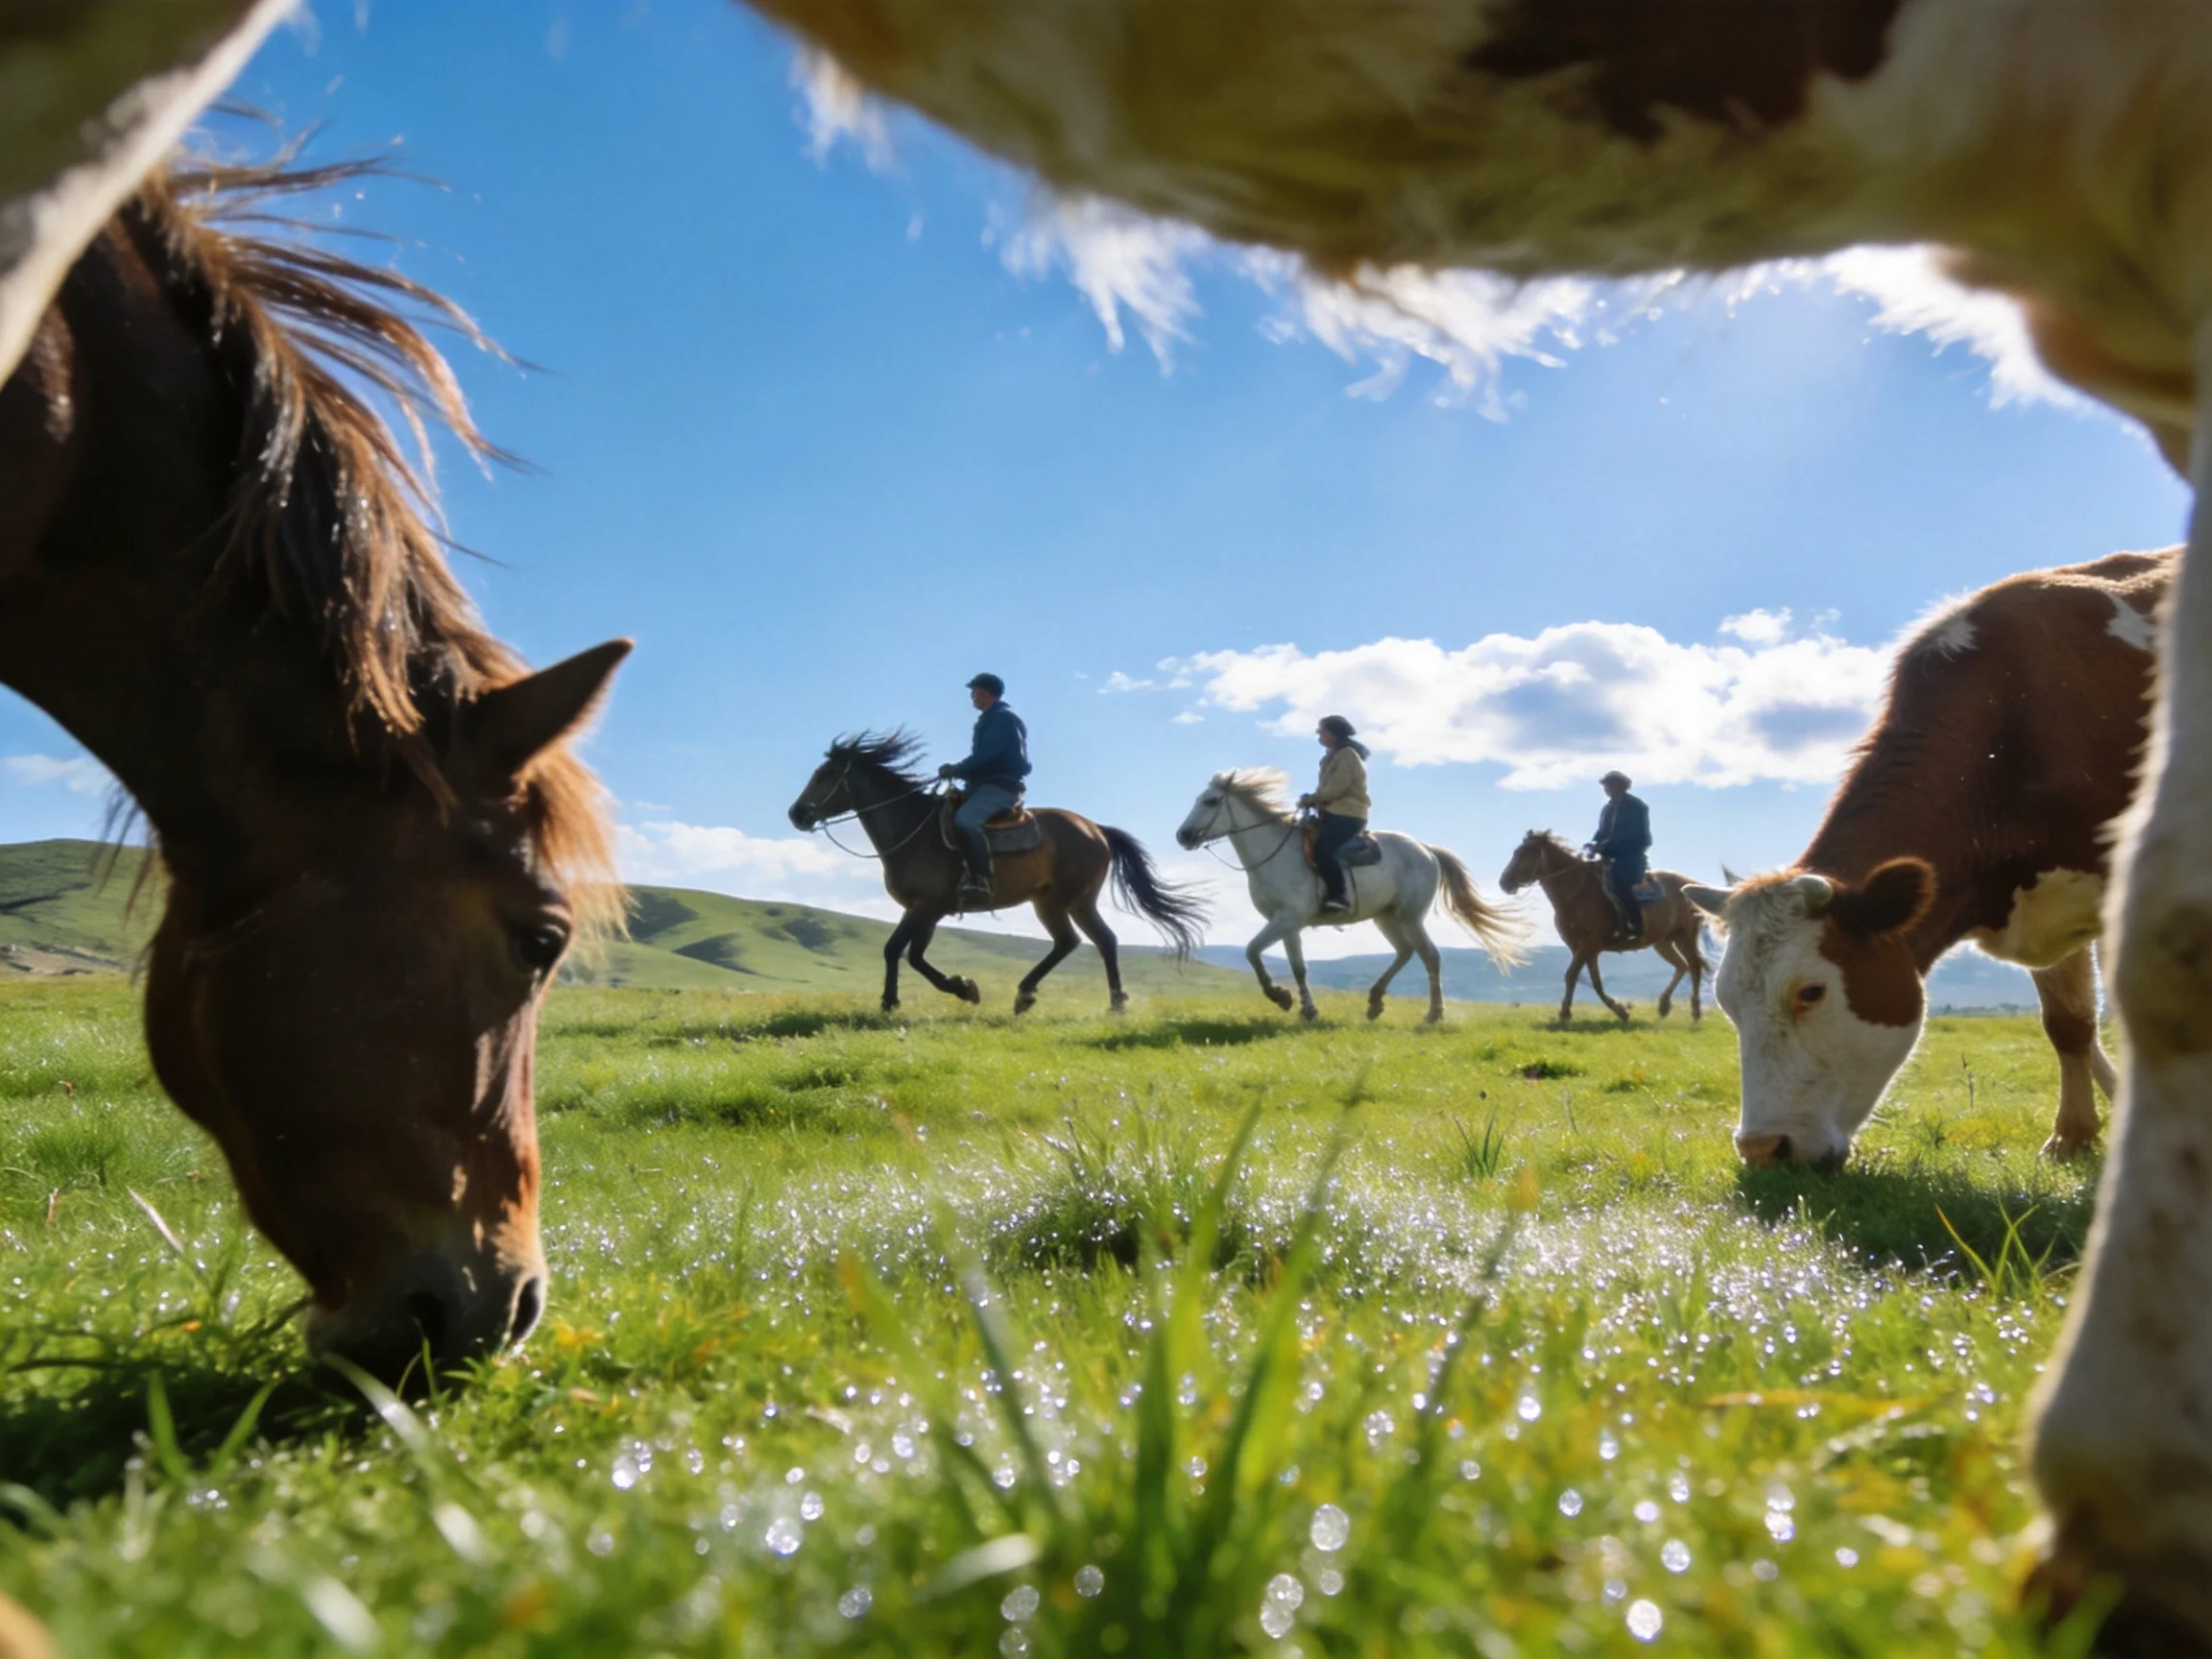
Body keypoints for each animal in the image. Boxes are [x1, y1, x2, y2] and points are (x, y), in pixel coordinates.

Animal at [787, 732, 1206, 1014]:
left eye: (826, 774)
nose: (796, 814)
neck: (912, 829)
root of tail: (1097, 829)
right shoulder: (925, 910)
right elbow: (915, 956)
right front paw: (964, 988)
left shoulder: (927, 906)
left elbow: (894, 949)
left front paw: (891, 1001)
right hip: (1053, 902)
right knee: (1084, 941)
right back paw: (1038, 996)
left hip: (1071, 900)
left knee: (1093, 941)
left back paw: (1100, 1002)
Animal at [1175, 769, 1525, 1022]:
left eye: (1210, 801)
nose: (1183, 835)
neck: (1273, 854)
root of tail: (1427, 850)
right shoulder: (1288, 924)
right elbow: (1297, 967)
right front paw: (1306, 1008)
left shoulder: (1287, 918)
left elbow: (1251, 951)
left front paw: (1279, 996)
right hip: (1386, 917)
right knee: (1405, 952)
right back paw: (1374, 1002)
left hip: (1410, 916)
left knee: (1429, 955)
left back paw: (1433, 1014)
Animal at [1498, 830, 1707, 1023]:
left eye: (1524, 853)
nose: (1504, 882)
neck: (1575, 892)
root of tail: (1691, 884)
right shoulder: (1585, 949)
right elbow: (1595, 981)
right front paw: (1620, 1010)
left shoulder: (1588, 944)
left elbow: (1571, 975)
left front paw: (1565, 1013)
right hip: (1663, 942)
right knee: (1681, 965)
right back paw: (1664, 1005)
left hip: (1685, 936)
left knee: (1694, 966)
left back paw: (1695, 1012)